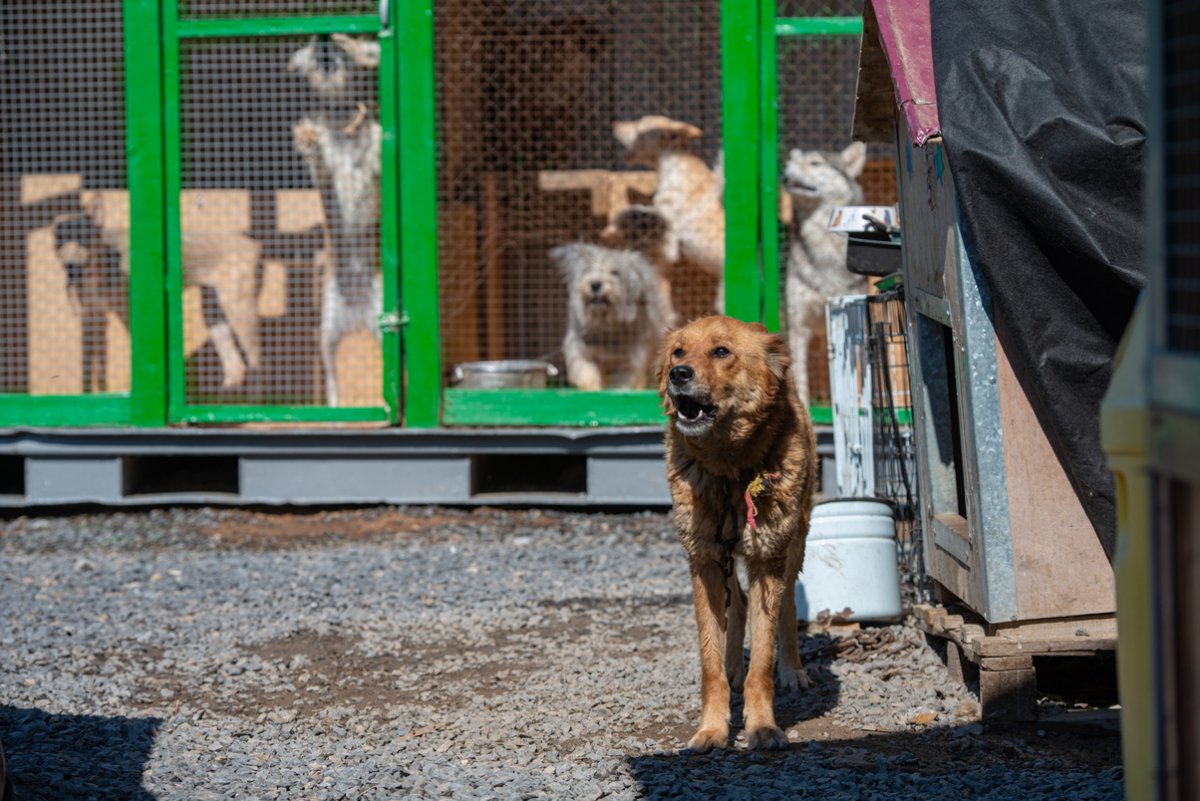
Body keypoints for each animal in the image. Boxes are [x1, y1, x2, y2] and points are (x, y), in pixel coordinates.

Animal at [549, 244, 676, 393]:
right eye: (588, 270)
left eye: (615, 272)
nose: (595, 284)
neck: (607, 326)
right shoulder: (580, 348)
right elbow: (585, 369)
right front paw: (591, 387)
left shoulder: (630, 361)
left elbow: (625, 381)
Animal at [657, 314, 816, 753]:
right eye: (678, 351)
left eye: (721, 351)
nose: (679, 373)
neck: (728, 470)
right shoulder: (704, 560)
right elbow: (709, 661)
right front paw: (711, 729)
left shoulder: (767, 559)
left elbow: (761, 660)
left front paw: (762, 727)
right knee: (738, 605)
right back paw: (732, 668)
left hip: (793, 545)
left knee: (786, 608)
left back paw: (793, 670)